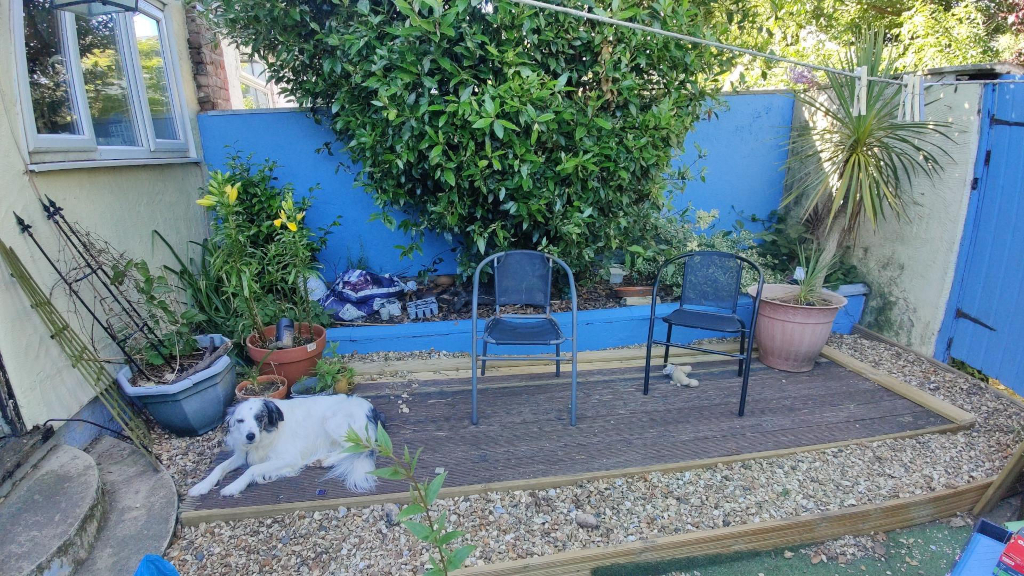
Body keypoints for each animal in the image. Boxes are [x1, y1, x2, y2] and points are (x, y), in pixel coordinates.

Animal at [186, 391, 382, 496]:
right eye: (240, 420)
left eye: (259, 418)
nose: (250, 436)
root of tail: (372, 409)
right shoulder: (243, 454)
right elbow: (219, 467)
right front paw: (201, 486)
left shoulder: (289, 458)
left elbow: (253, 469)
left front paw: (234, 486)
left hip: (332, 421)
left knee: (358, 447)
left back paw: (325, 460)